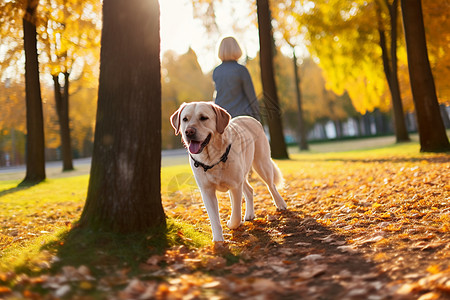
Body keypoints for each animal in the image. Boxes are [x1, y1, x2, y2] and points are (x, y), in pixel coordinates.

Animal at [171, 102, 286, 240]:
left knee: (271, 185)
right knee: (250, 190)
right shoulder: (207, 191)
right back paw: (249, 214)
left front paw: (232, 224)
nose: (189, 131)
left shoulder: (235, 186)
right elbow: (214, 219)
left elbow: (236, 215)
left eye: (203, 118)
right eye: (185, 119)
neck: (212, 159)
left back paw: (281, 204)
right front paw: (218, 240)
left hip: (261, 163)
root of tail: (250, 118)